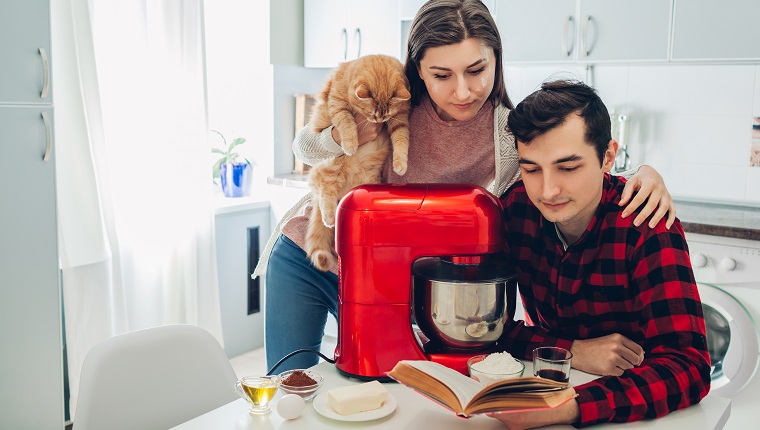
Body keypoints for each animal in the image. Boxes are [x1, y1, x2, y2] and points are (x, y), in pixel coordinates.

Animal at [304, 53, 412, 268]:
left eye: (386, 115)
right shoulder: (337, 103)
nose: (378, 121)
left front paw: (400, 165)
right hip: (331, 166)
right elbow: (346, 123)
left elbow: (401, 140)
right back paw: (330, 217)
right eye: (371, 114)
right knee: (325, 193)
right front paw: (351, 144)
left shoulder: (400, 118)